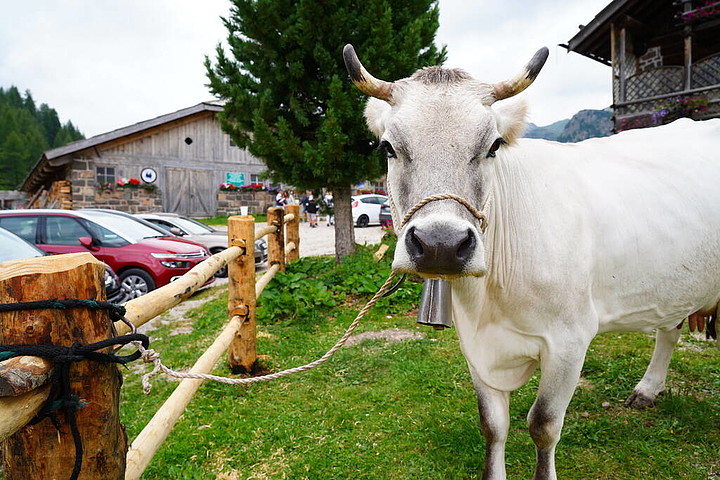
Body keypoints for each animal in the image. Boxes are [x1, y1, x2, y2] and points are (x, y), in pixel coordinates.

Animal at [344, 43, 720, 478]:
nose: (441, 244)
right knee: (670, 330)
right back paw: (648, 389)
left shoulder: (570, 341)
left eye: (493, 146)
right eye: (387, 147)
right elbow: (492, 425)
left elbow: (543, 425)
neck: (491, 304)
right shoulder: (476, 347)